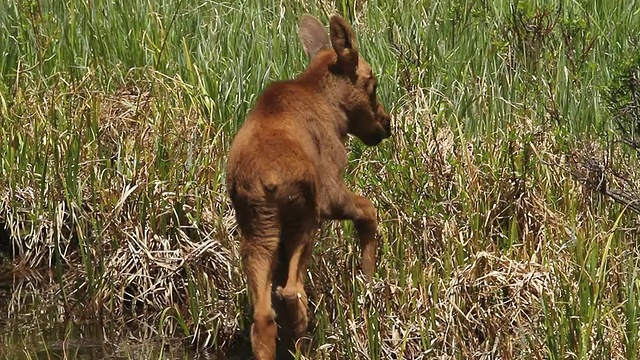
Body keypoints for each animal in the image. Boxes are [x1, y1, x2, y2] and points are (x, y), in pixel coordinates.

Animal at [228, 13, 392, 360]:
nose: (386, 124)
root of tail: (267, 180)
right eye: (372, 84)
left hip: (257, 229)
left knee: (263, 314)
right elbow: (369, 209)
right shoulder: (330, 188)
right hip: (305, 215)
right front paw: (368, 279)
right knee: (292, 291)